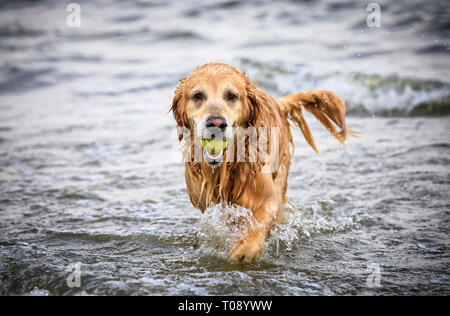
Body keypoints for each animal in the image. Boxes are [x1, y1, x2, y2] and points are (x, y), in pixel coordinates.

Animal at [170, 63, 356, 262]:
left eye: (231, 95)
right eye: (197, 95)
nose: (216, 123)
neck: (229, 166)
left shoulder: (269, 196)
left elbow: (262, 218)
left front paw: (247, 248)